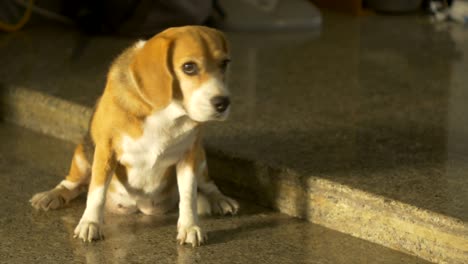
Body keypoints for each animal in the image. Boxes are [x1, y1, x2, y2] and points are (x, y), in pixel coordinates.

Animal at [30, 25, 238, 246]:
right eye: (189, 67)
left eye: (224, 63)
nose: (223, 103)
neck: (166, 111)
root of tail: (140, 207)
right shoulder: (105, 150)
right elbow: (96, 192)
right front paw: (90, 223)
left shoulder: (189, 155)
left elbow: (188, 195)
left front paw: (190, 226)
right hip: (81, 155)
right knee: (73, 185)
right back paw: (50, 196)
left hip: (200, 157)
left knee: (208, 185)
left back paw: (220, 200)